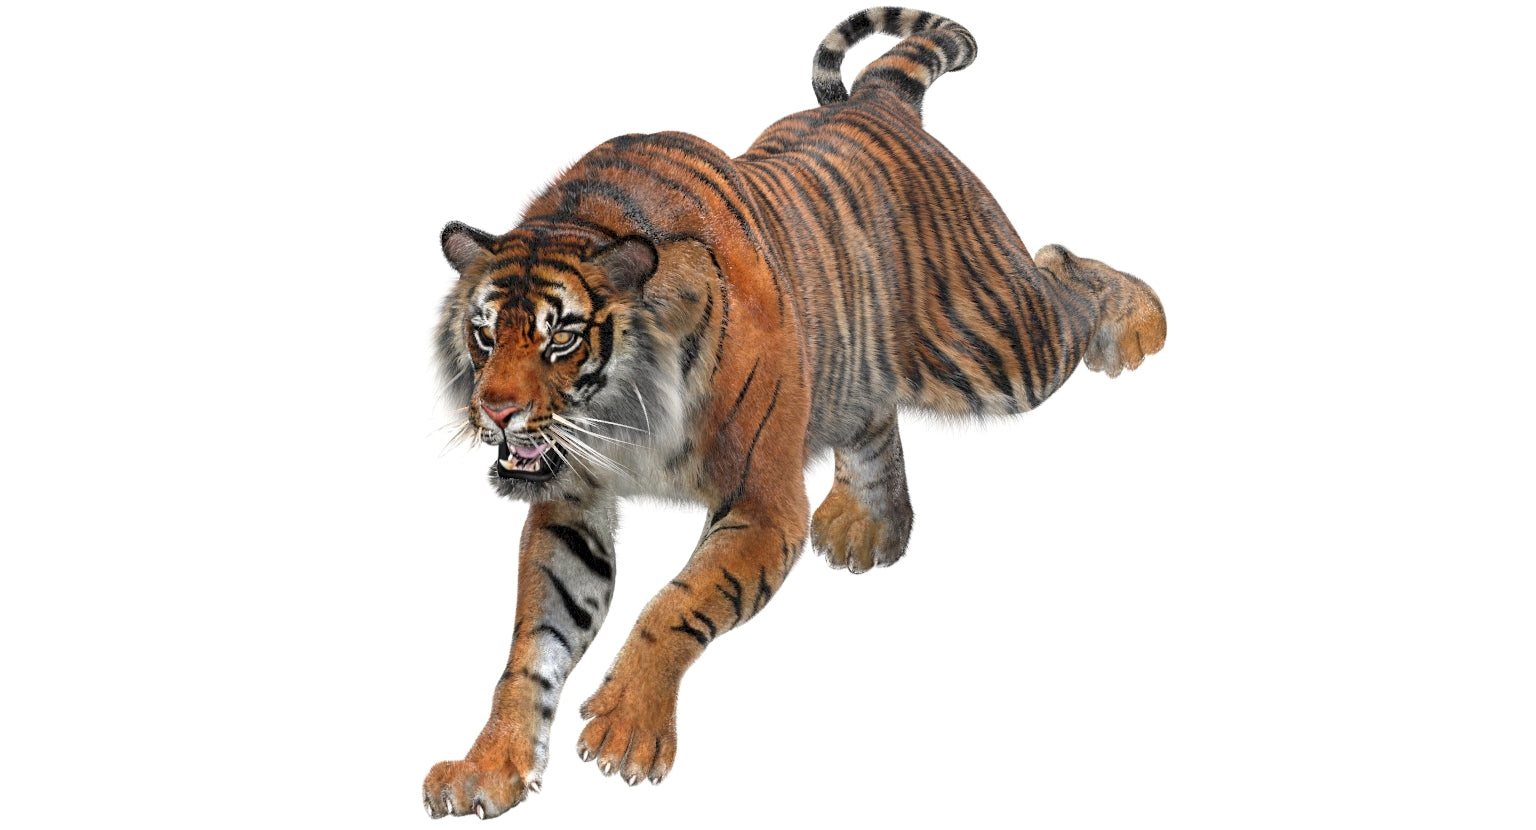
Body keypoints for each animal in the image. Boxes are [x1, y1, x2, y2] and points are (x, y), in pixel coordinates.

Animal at [423, 6, 1166, 819]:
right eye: (484, 333)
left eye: (560, 337)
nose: (495, 412)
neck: (624, 420)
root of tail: (878, 99)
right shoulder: (571, 506)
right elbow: (535, 644)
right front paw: (489, 765)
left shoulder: (765, 502)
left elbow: (676, 603)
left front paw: (627, 728)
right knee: (875, 417)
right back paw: (870, 527)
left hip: (996, 343)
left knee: (1061, 274)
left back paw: (1141, 323)